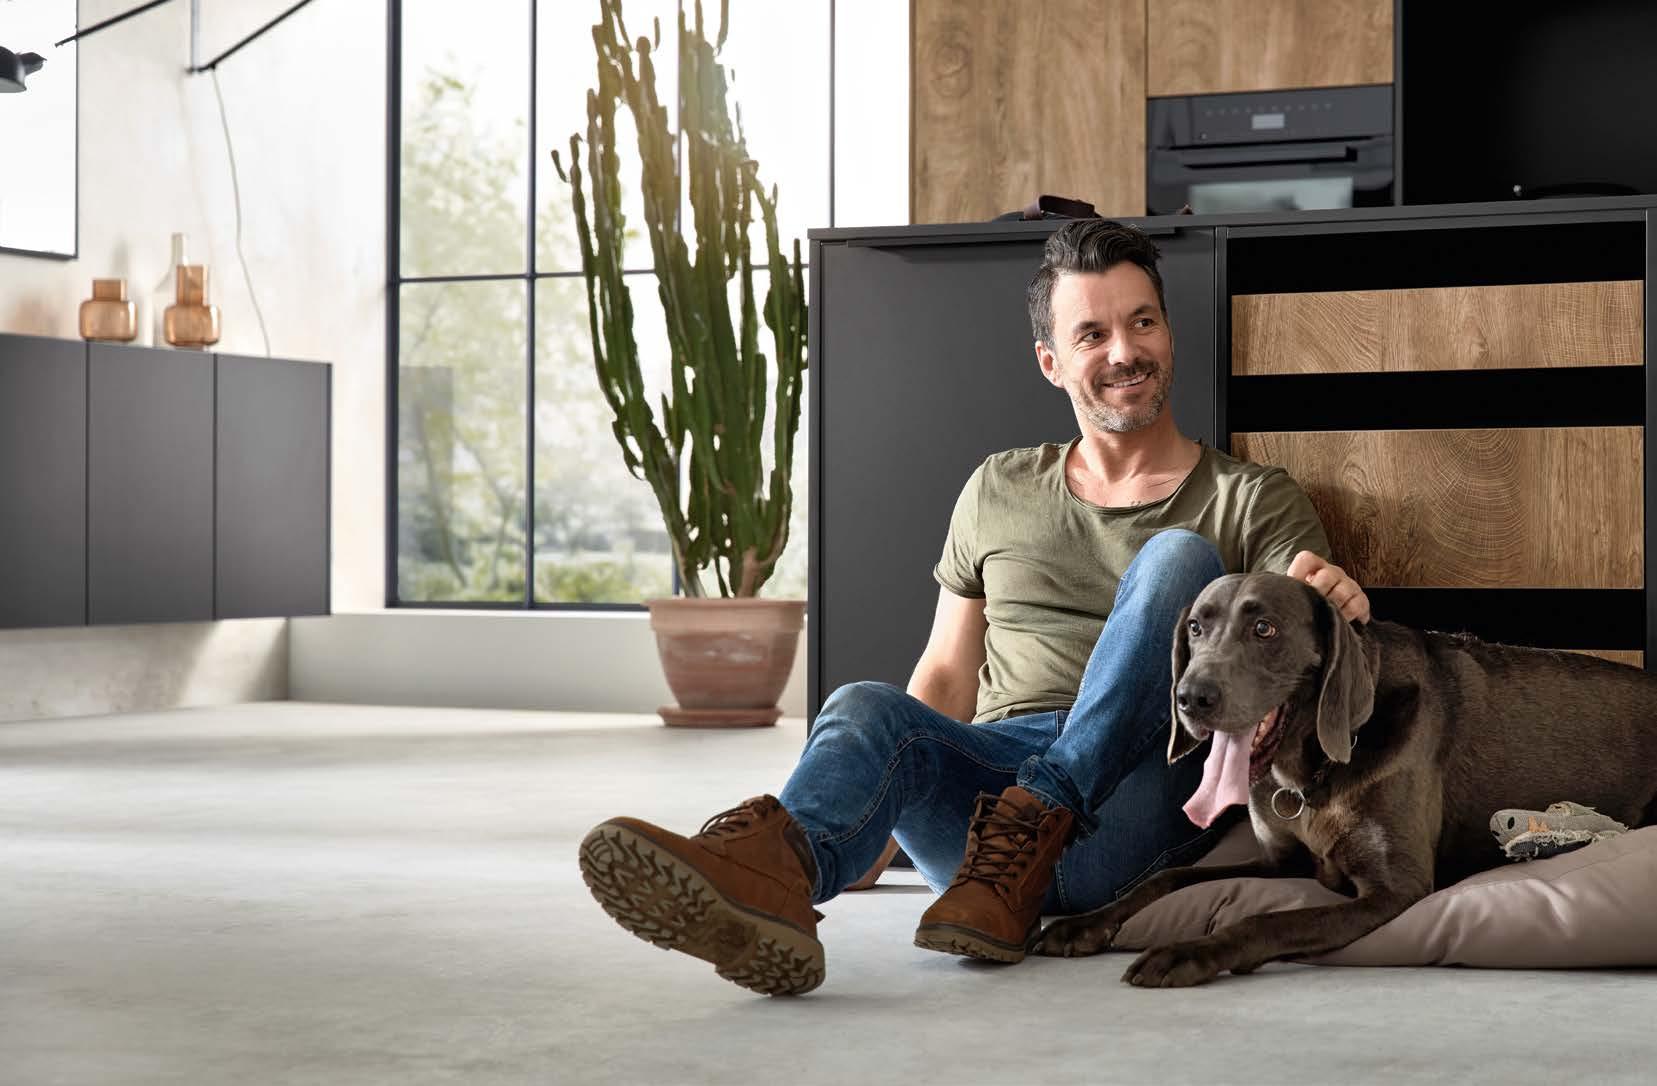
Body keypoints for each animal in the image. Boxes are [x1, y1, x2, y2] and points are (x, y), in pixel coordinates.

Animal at [1032, 571, 1657, 986]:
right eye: (1194, 628)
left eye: (1265, 628)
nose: (1191, 698)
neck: (1311, 773)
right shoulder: (1281, 861)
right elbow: (1166, 877)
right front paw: (1082, 924)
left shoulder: (1393, 890)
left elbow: (1263, 919)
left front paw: (1186, 952)